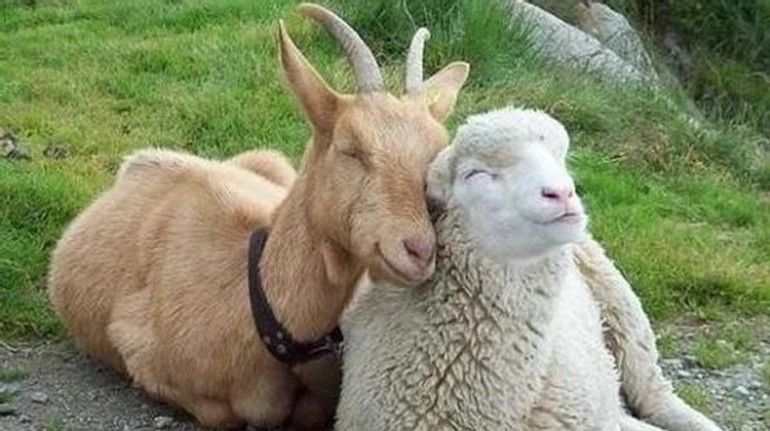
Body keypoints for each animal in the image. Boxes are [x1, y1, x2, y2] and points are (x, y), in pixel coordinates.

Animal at [46, 3, 469, 430]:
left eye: (438, 153)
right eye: (350, 148)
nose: (419, 250)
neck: (250, 303)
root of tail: (139, 160)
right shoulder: (137, 351)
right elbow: (224, 414)